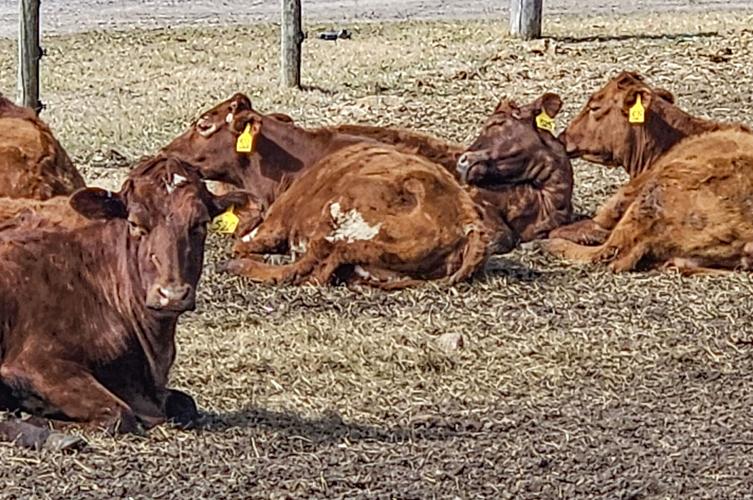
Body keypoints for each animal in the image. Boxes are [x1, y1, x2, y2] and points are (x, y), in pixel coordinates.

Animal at [0, 155, 247, 446]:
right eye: (135, 223)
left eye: (200, 223)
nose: (172, 295)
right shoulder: (36, 362)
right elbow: (119, 414)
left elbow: (186, 403)